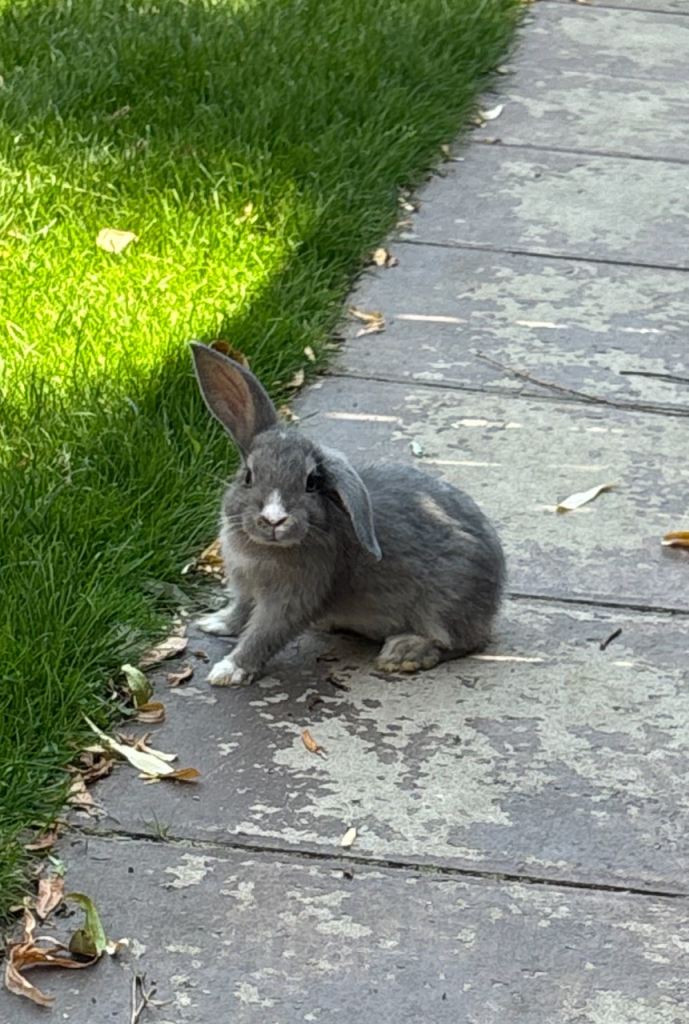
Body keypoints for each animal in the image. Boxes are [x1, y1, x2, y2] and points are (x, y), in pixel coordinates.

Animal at [190, 342, 505, 686]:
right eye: (248, 476)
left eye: (312, 482)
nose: (274, 519)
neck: (265, 548)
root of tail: (495, 590)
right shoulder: (245, 587)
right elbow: (241, 612)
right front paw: (213, 623)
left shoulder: (294, 597)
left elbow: (264, 635)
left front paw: (227, 670)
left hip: (445, 605)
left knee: (458, 642)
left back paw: (403, 653)